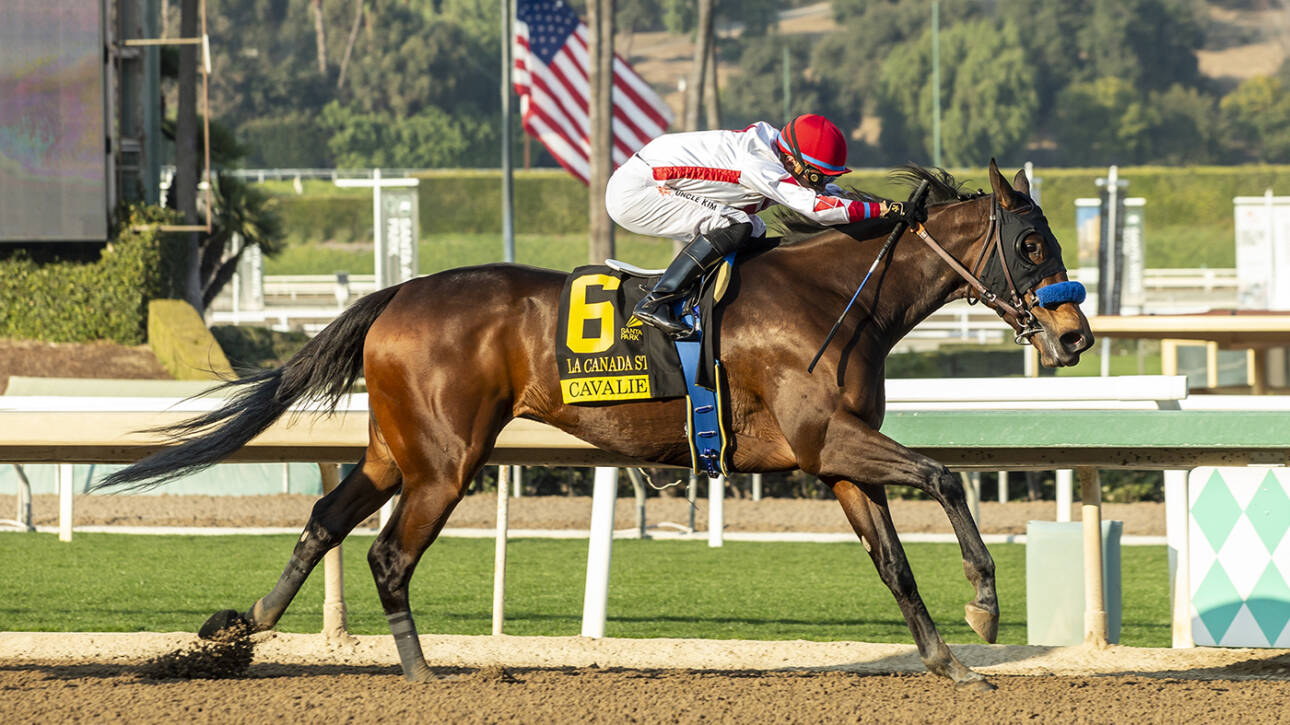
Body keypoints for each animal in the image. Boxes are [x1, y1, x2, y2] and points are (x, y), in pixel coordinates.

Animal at [98, 160, 1088, 686]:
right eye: (1031, 243)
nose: (1076, 333)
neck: (837, 297)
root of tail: (396, 295)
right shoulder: (827, 441)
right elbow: (947, 475)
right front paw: (986, 604)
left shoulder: (838, 462)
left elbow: (894, 562)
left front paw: (947, 657)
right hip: (446, 460)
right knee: (386, 553)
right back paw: (421, 672)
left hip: (393, 449)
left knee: (324, 521)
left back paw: (244, 626)